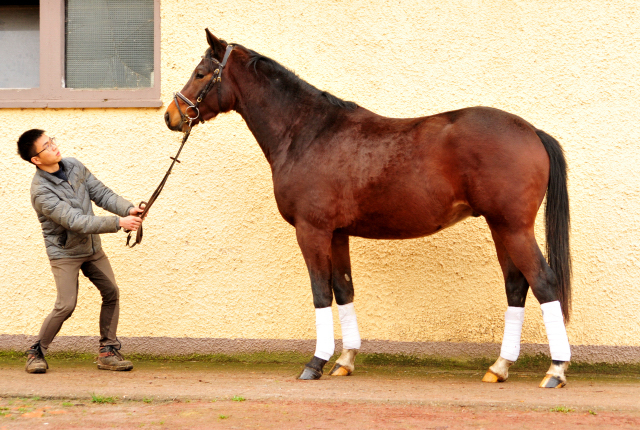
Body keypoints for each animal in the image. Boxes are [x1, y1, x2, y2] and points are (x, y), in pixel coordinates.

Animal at [162, 28, 572, 388]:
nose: (171, 115)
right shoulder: (337, 233)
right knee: (516, 286)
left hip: (513, 227)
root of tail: (532, 132)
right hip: (500, 227)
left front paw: (315, 363)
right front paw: (344, 361)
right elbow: (344, 289)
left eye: (201, 73)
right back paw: (499, 367)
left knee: (544, 282)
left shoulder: (312, 230)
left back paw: (555, 370)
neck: (308, 133)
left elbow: (320, 291)